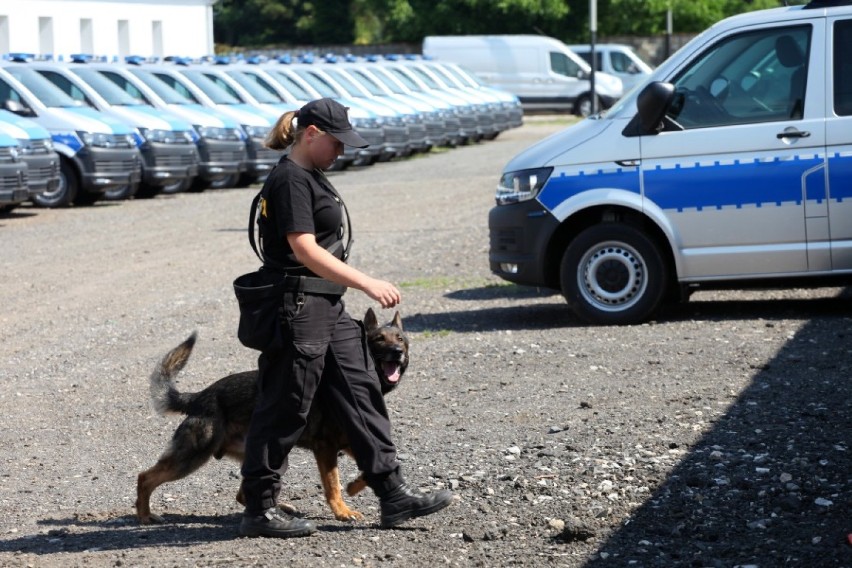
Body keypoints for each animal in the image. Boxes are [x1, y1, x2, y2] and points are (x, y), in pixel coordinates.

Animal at [136, 308, 410, 524]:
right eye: (379, 339)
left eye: (400, 339)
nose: (397, 351)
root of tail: (201, 395)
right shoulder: (326, 448)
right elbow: (333, 484)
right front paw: (342, 511)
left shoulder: (350, 441)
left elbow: (383, 461)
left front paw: (355, 487)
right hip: (192, 456)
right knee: (145, 477)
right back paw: (145, 515)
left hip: (270, 456)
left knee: (244, 493)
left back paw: (280, 508)